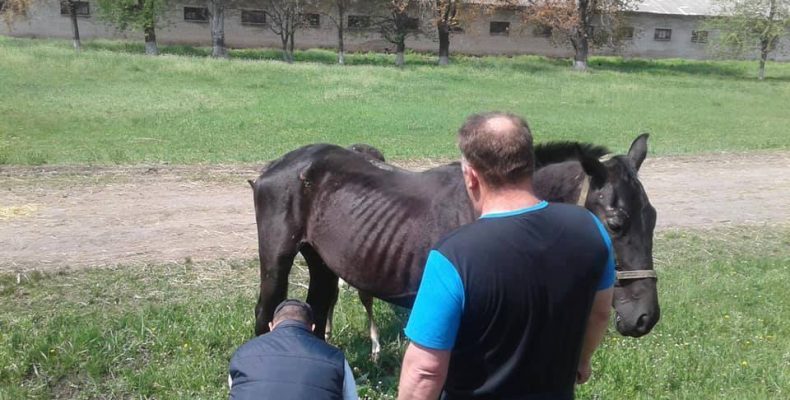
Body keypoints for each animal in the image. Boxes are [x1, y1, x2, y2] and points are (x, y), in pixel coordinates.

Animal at [251, 135, 660, 346]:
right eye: (616, 224)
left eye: (653, 218)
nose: (645, 318)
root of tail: (276, 166)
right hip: (277, 260)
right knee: (265, 311)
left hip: (320, 260)